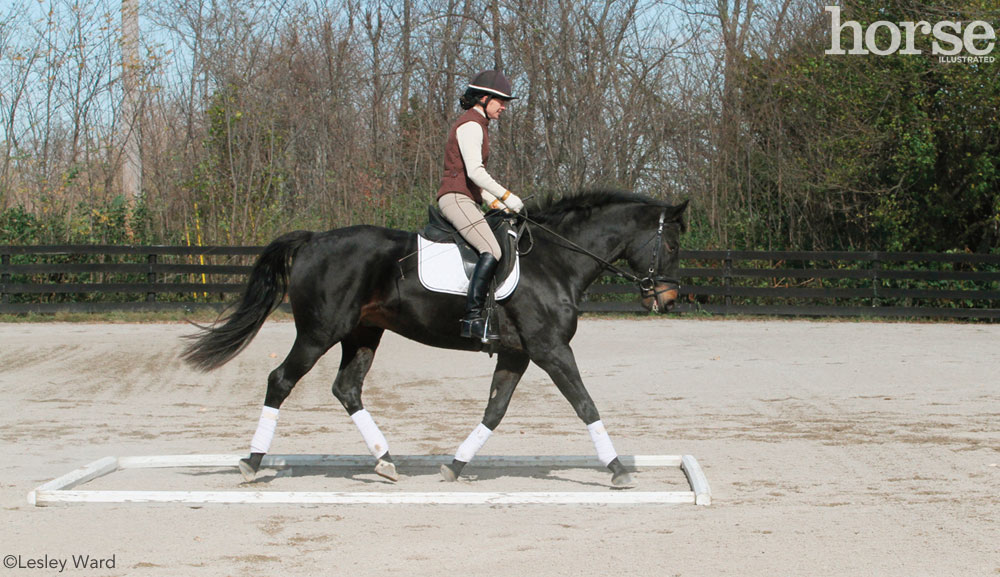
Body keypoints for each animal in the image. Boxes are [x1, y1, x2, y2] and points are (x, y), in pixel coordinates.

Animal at [182, 190, 688, 486]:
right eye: (672, 244)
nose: (667, 299)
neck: (555, 260)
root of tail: (313, 240)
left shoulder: (517, 354)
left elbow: (495, 411)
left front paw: (456, 465)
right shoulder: (551, 350)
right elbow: (585, 404)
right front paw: (618, 469)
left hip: (363, 332)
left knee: (347, 388)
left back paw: (386, 461)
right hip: (318, 332)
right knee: (281, 381)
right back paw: (252, 463)